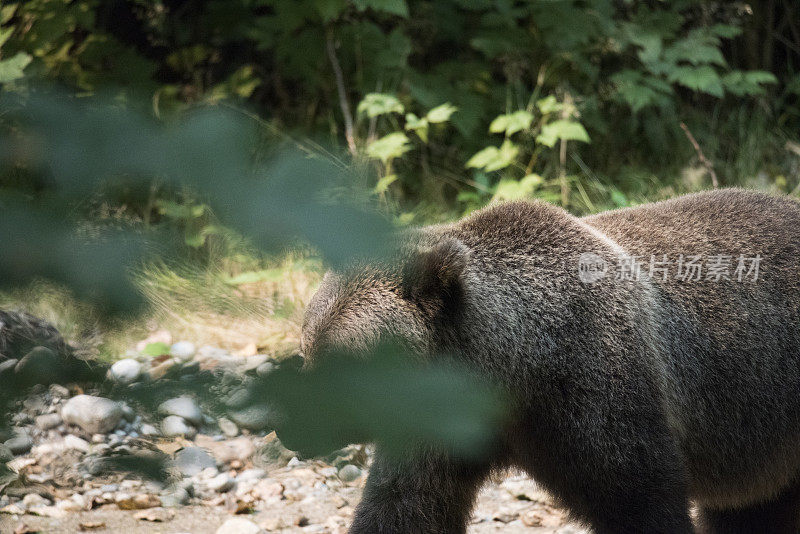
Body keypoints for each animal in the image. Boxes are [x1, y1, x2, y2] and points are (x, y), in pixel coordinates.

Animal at [298, 191, 800, 532]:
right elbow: (404, 505)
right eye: (306, 348)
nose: (291, 425)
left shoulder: (598, 393)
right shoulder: (434, 430)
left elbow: (641, 499)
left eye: (342, 361)